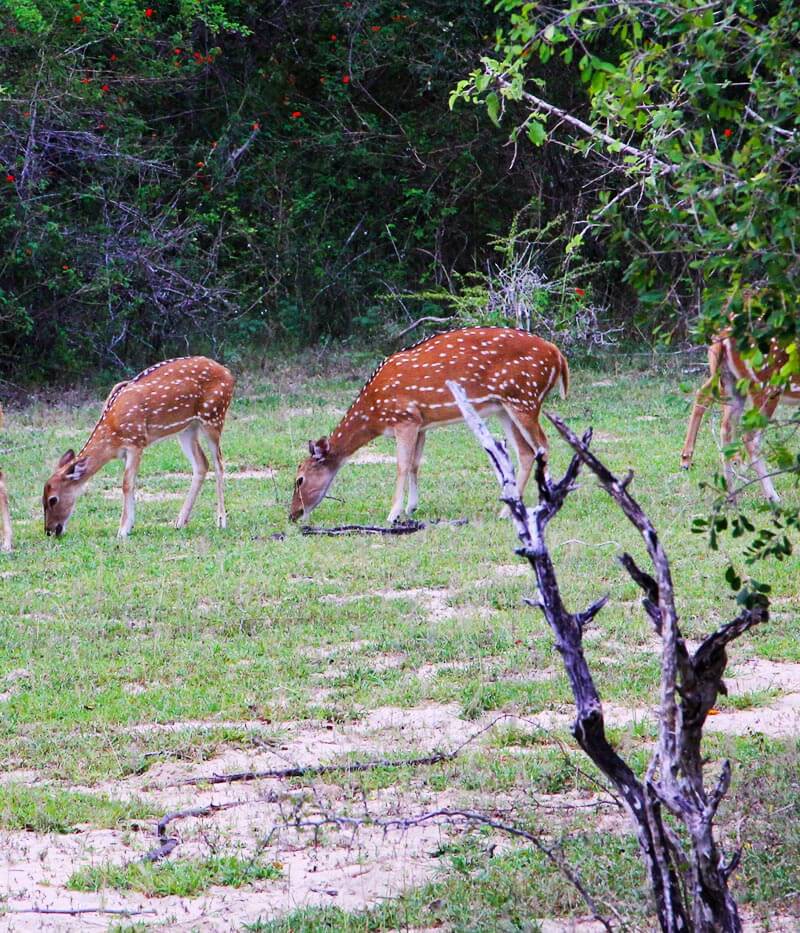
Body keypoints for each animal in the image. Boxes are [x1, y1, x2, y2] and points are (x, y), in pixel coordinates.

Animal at [42, 354, 234, 536]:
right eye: (42, 499)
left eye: (53, 499)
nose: (49, 530)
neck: (112, 435)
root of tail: (229, 374)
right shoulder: (126, 451)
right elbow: (131, 482)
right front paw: (129, 525)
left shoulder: (136, 441)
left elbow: (126, 483)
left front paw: (122, 530)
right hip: (187, 428)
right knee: (202, 463)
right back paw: (180, 522)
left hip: (213, 415)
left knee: (219, 464)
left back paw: (221, 521)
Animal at [290, 326, 572, 524]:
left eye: (299, 479)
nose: (293, 514)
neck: (375, 414)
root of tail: (558, 356)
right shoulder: (421, 423)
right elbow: (415, 464)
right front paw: (411, 507)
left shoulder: (404, 417)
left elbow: (402, 465)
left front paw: (393, 513)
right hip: (504, 406)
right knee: (525, 451)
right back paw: (506, 510)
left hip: (524, 397)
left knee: (543, 445)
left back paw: (545, 504)